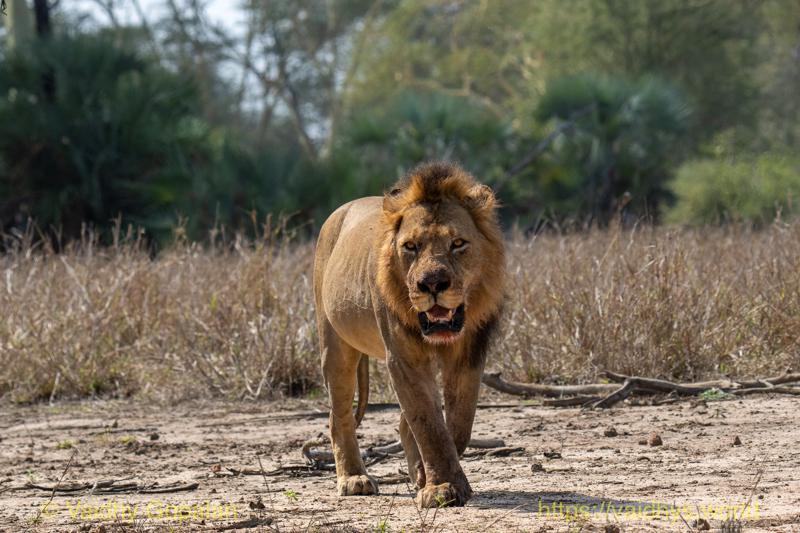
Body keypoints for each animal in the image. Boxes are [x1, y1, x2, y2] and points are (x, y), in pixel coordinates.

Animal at [313, 161, 505, 507]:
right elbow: (428, 423)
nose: (432, 284)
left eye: (458, 243)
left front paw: (433, 478)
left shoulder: (470, 353)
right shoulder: (404, 357)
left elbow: (456, 423)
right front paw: (442, 487)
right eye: (411, 247)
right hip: (333, 344)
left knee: (404, 422)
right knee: (339, 416)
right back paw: (354, 478)